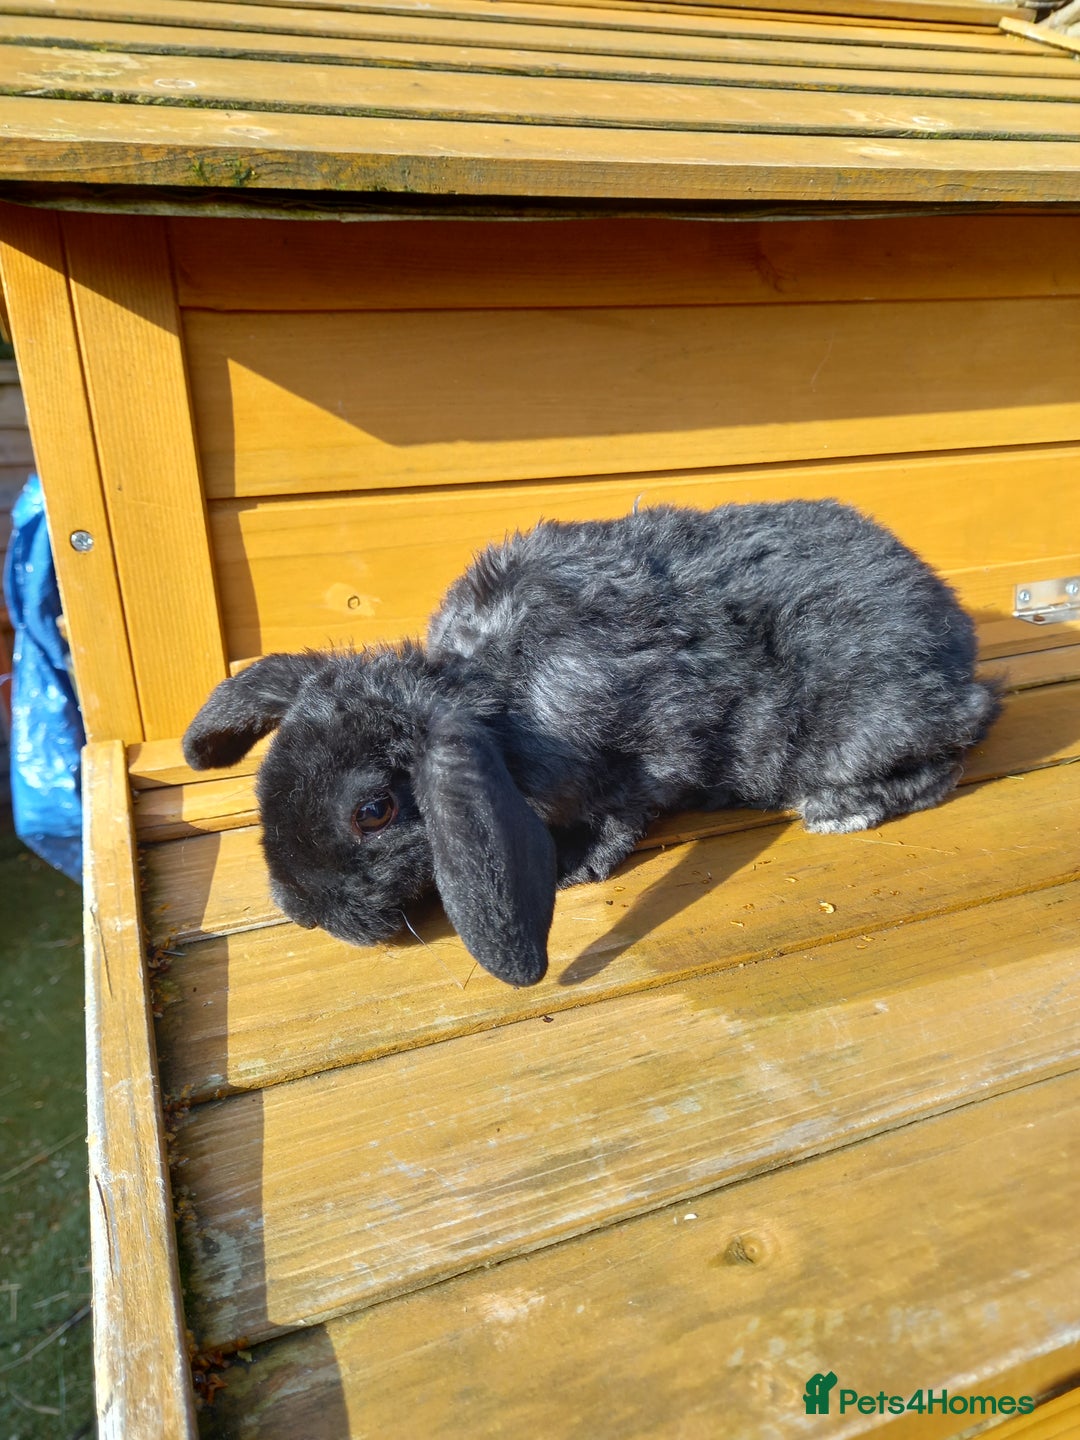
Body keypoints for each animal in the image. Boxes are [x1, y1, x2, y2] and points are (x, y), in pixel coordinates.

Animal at [183, 500, 1000, 988]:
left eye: (374, 811)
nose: (301, 910)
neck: (492, 692)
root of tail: (957, 638)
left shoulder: (636, 755)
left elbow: (619, 814)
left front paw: (576, 865)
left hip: (857, 729)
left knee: (951, 749)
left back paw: (840, 809)